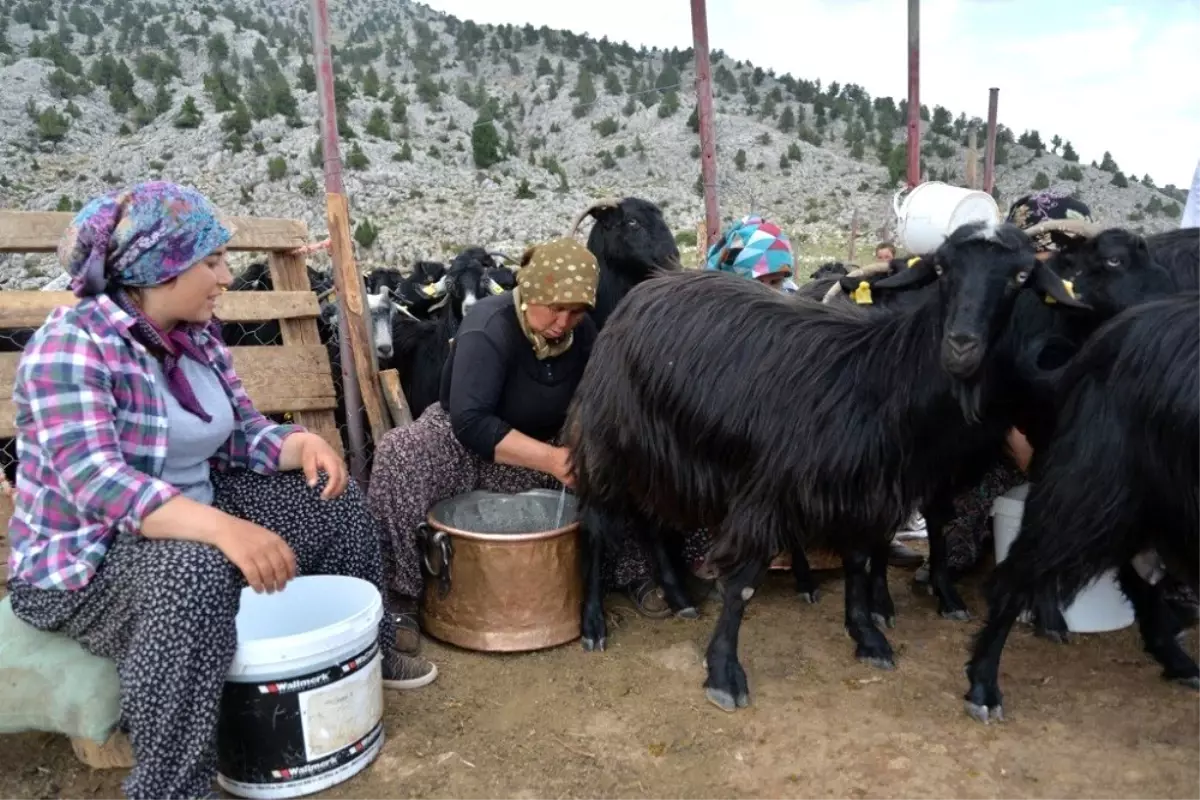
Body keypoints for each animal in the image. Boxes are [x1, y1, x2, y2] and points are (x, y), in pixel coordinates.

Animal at [566, 221, 1084, 710]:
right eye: (942, 269)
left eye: (1020, 277)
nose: (961, 347)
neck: (882, 376)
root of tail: (645, 291)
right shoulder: (769, 488)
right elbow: (743, 585)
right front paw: (723, 674)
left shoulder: (860, 491)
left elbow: (859, 561)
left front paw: (867, 635)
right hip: (609, 440)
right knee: (596, 524)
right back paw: (593, 624)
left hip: (658, 455)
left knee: (649, 520)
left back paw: (678, 598)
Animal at [964, 292, 1200, 724]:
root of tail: (1102, 344)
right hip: (1087, 499)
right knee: (1013, 577)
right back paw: (984, 687)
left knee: (1137, 578)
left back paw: (1177, 661)